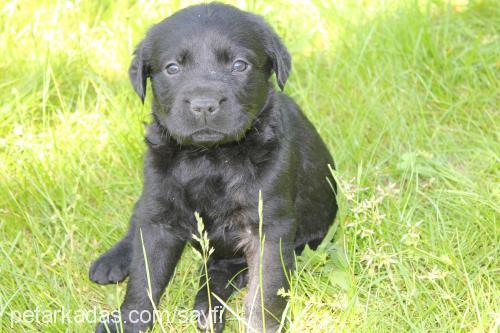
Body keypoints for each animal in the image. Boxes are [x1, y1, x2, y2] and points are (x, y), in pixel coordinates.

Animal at [92, 3, 338, 332]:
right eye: (172, 68)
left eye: (239, 65)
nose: (204, 105)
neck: (211, 158)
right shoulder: (159, 217)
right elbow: (144, 277)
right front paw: (127, 322)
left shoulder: (269, 225)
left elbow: (266, 290)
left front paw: (261, 326)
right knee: (138, 221)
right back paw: (114, 260)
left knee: (220, 272)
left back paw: (207, 309)